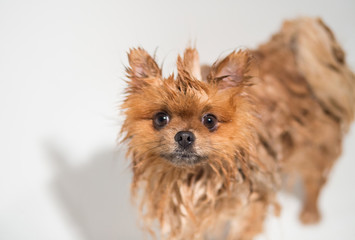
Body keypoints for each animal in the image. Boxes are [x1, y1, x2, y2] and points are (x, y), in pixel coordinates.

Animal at [120, 17, 355, 239]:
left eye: (209, 120)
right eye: (161, 118)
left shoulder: (250, 207)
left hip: (315, 147)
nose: (184, 136)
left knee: (315, 180)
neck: (196, 178)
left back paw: (310, 213)